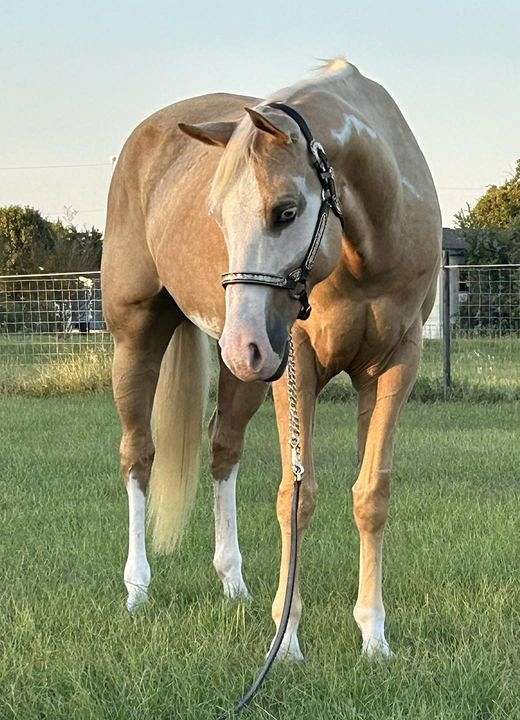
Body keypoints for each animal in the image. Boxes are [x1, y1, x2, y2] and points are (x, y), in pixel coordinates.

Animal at [102, 59, 442, 660]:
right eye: (217, 217)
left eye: (286, 212)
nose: (244, 345)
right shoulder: (296, 365)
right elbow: (295, 500)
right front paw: (286, 641)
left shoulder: (395, 366)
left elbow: (371, 495)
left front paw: (374, 636)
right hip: (139, 338)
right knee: (138, 455)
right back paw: (137, 588)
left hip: (248, 376)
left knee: (223, 450)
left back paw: (233, 583)